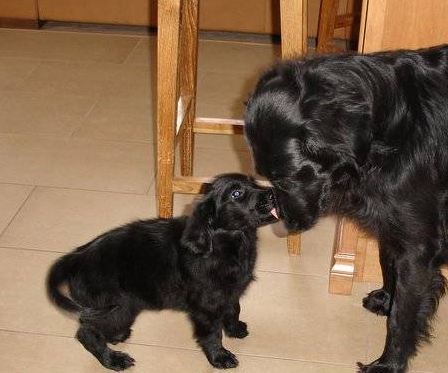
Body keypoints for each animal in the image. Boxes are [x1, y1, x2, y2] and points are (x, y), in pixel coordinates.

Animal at [45, 174, 276, 370]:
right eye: (236, 193)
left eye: (254, 181)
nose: (273, 193)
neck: (229, 243)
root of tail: (76, 257)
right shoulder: (206, 305)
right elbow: (212, 333)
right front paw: (219, 357)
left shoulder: (230, 290)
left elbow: (233, 308)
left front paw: (234, 328)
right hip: (115, 307)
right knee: (86, 333)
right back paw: (113, 360)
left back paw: (116, 337)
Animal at [245, 42, 448, 370]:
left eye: (286, 178)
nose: (286, 225)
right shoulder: (391, 223)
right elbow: (388, 266)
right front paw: (386, 299)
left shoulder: (418, 246)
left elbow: (402, 318)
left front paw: (389, 364)